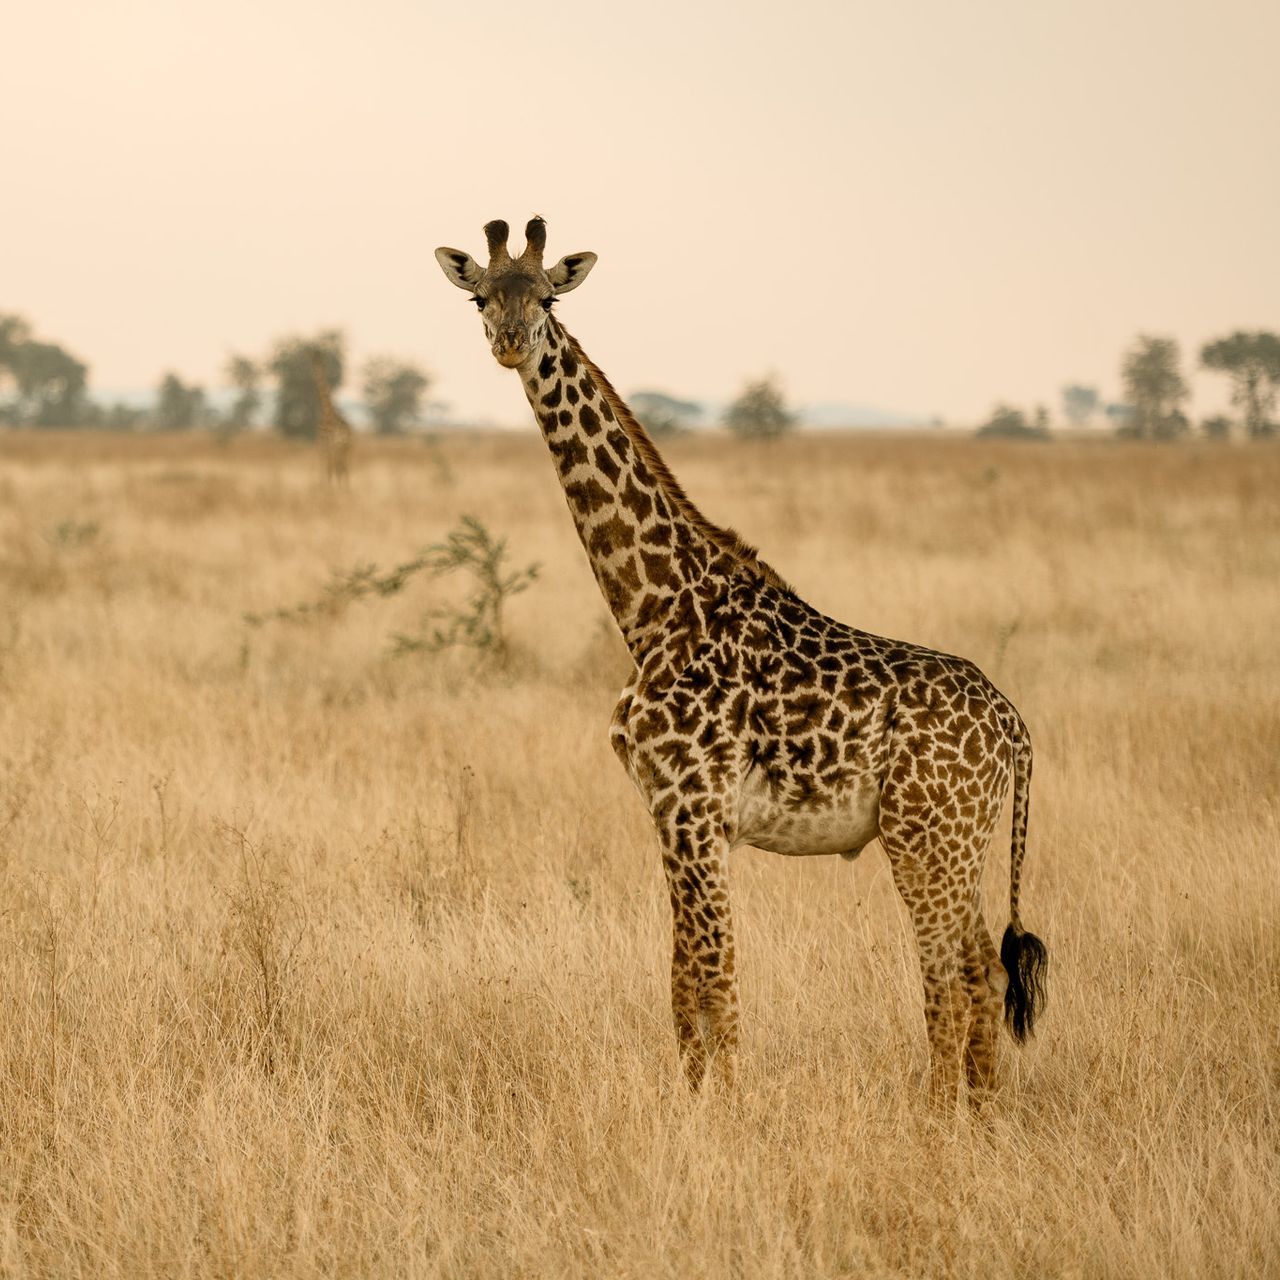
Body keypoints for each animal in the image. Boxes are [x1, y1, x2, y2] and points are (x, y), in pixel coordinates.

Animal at [310, 349, 353, 487]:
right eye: (313, 361)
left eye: (317, 362)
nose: (314, 370)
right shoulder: (325, 444)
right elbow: (328, 467)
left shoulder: (325, 443)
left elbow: (329, 468)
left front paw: (327, 487)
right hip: (344, 447)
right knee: (343, 467)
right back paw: (345, 487)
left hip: (339, 447)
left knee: (339, 467)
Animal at [434, 218, 1048, 1106]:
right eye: (481, 297)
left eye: (547, 298)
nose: (512, 343)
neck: (654, 606)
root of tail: (1015, 730)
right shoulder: (672, 813)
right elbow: (684, 979)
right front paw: (697, 1102)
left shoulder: (693, 806)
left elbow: (716, 978)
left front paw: (721, 1110)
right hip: (963, 841)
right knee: (980, 971)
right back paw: (983, 1115)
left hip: (927, 836)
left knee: (951, 977)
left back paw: (939, 1120)